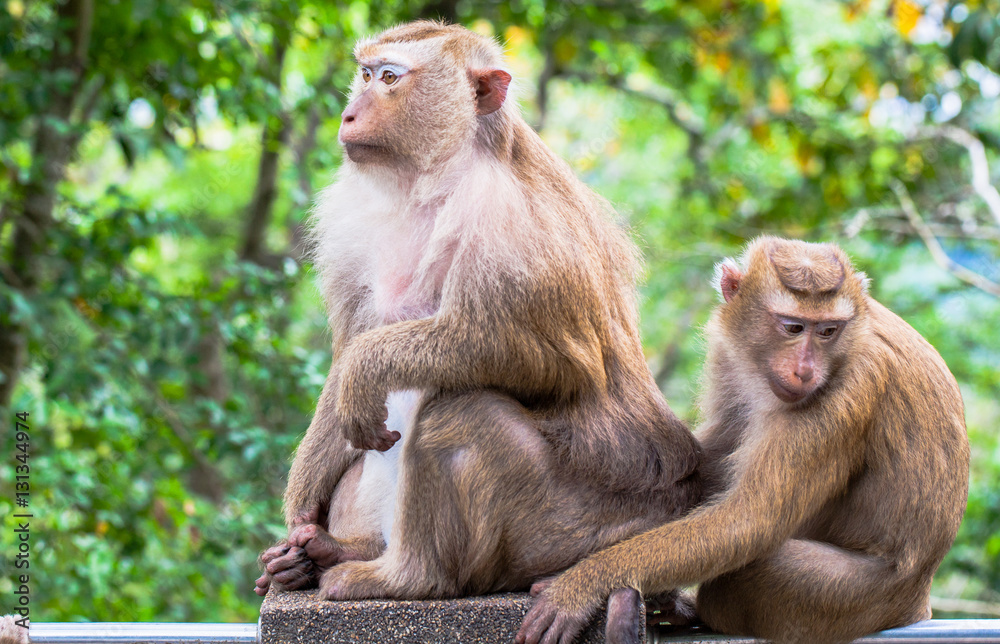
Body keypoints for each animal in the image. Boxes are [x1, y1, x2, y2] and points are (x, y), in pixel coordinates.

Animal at [254, 21, 701, 616]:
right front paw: (298, 517)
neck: (436, 178)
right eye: (365, 75)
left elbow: (543, 360)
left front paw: (366, 367)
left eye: (390, 78)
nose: (348, 115)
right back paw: (330, 550)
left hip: (581, 533)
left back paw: (408, 578)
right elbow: (349, 352)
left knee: (463, 412)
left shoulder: (503, 220)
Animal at [517, 236, 970, 644]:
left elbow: (749, 521)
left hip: (850, 600)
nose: (805, 371)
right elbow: (713, 458)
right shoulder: (730, 352)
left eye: (828, 331)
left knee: (752, 571)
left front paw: (583, 582)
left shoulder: (849, 388)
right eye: (792, 327)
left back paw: (687, 610)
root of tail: (916, 602)